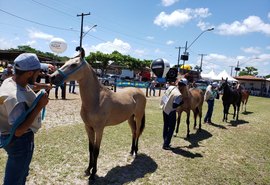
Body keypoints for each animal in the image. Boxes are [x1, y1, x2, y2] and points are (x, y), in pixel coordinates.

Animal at [49, 47, 147, 181]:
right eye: (65, 63)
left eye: (74, 64)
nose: (52, 77)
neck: (96, 100)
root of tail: (139, 91)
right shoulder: (88, 127)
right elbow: (90, 149)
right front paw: (88, 170)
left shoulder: (99, 129)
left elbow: (96, 150)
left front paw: (93, 173)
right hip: (130, 118)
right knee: (133, 132)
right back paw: (131, 151)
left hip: (138, 116)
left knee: (137, 133)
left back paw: (135, 152)